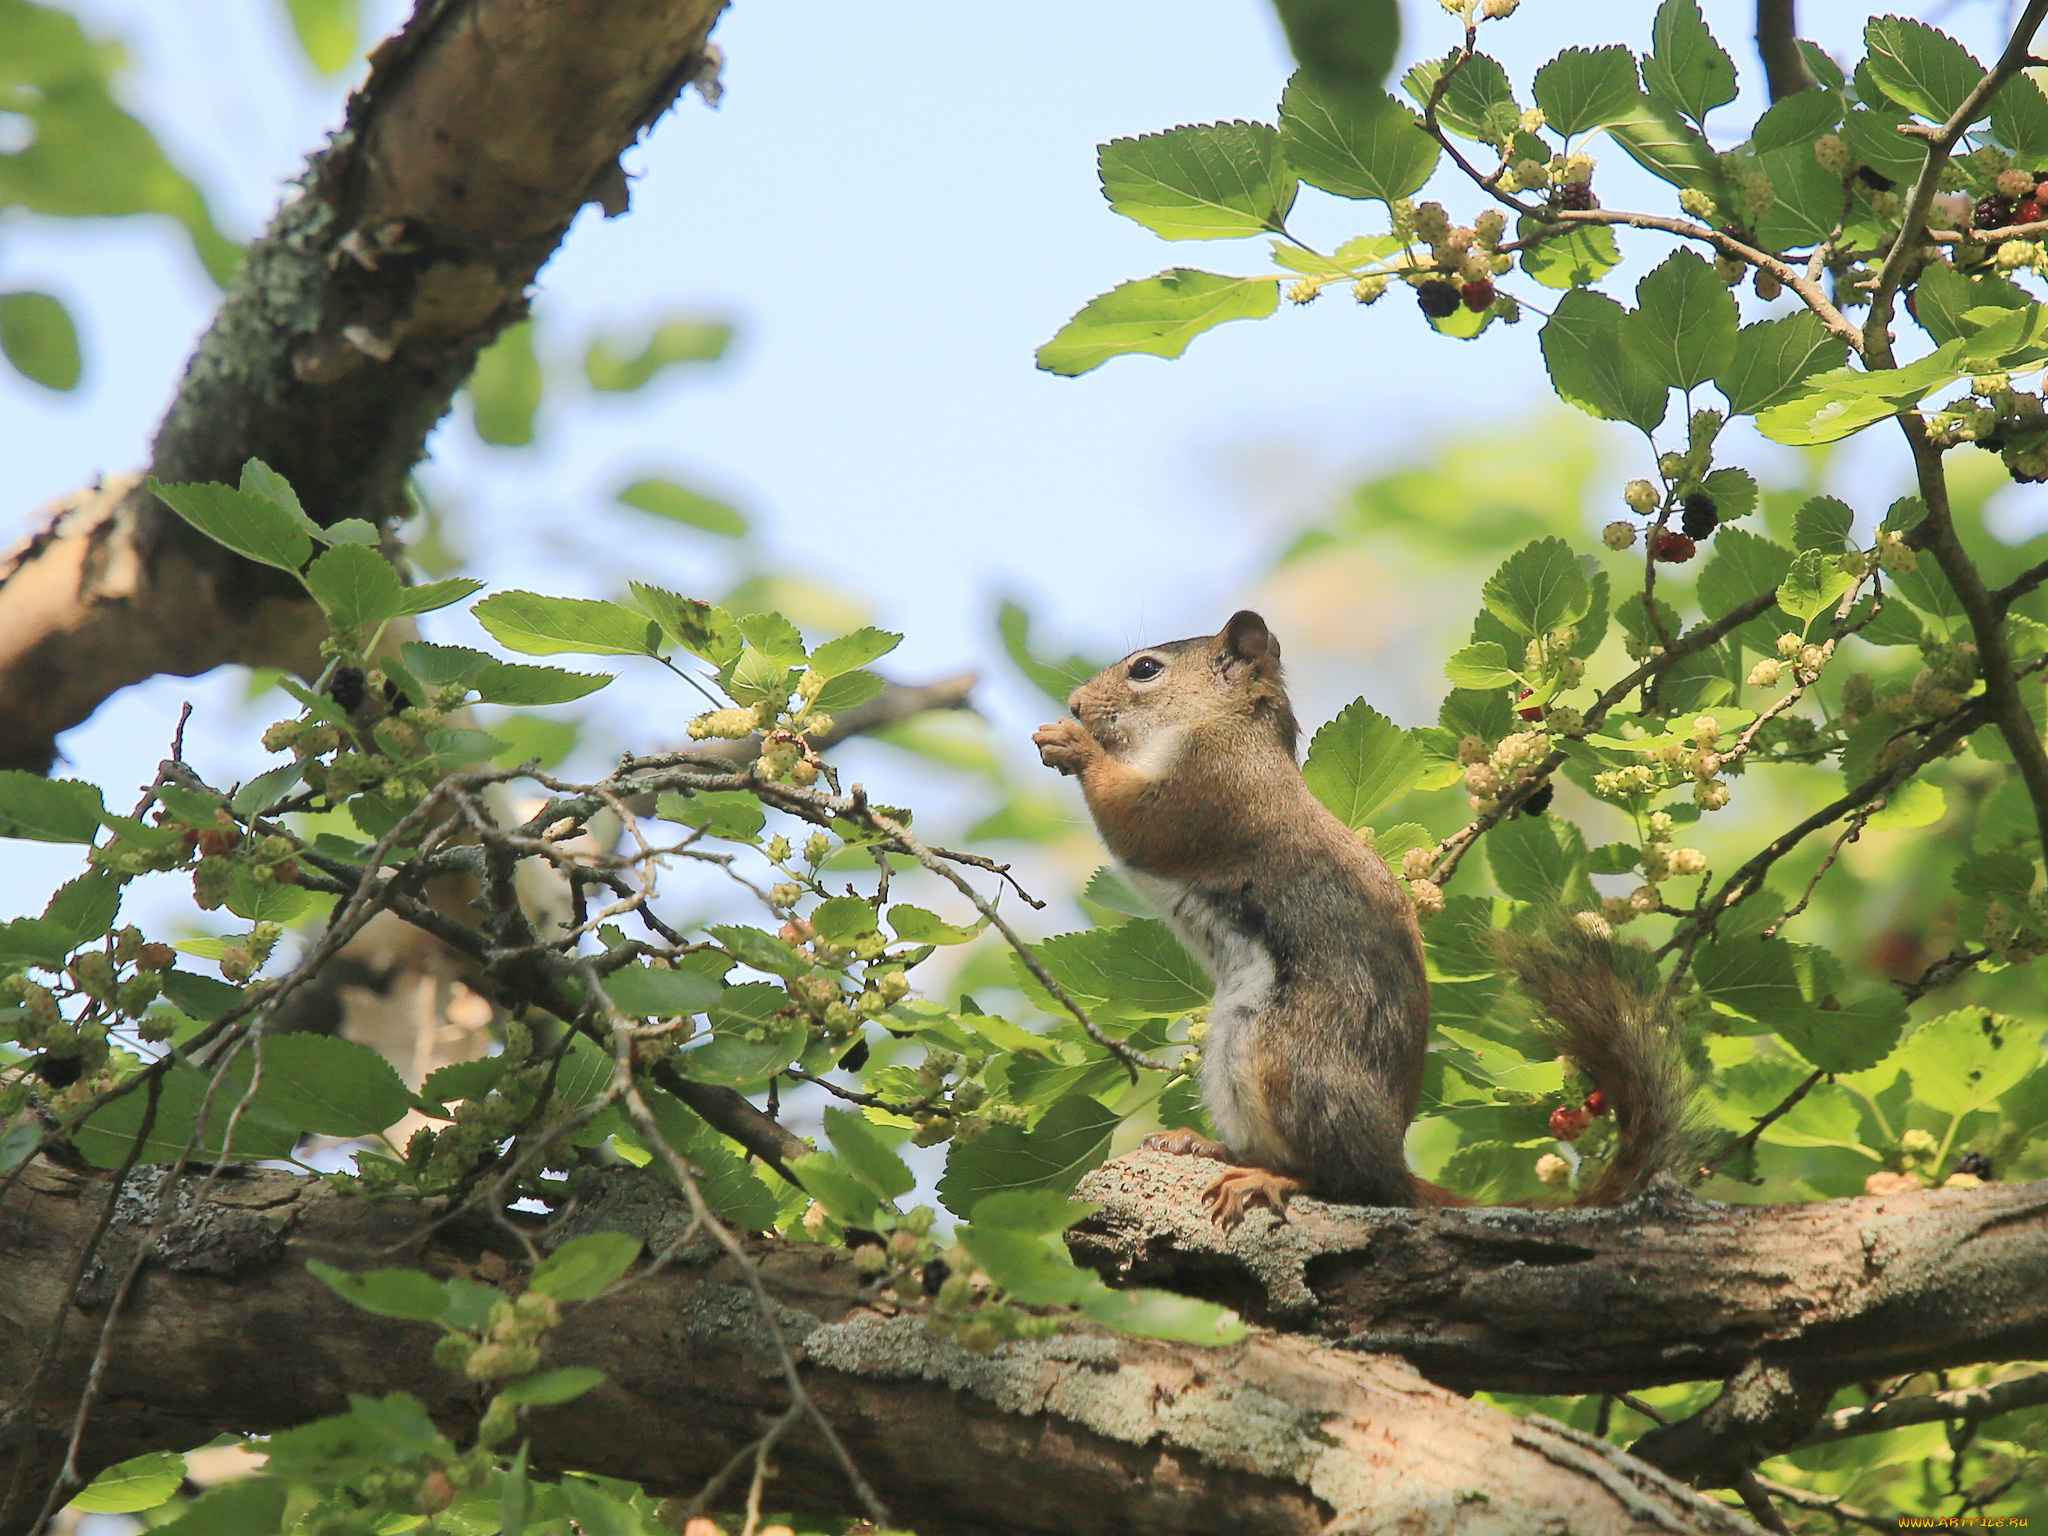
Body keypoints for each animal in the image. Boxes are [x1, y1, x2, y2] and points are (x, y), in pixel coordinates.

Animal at [1040, 614, 1695, 1228]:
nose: (1074, 704)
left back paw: (1270, 1178)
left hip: (1287, 1063)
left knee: (1343, 1181)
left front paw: (1074, 744)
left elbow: (1135, 822)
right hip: (1232, 1059)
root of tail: (1391, 1163)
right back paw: (1206, 1145)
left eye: (1146, 669)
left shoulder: (1206, 793)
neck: (1225, 729)